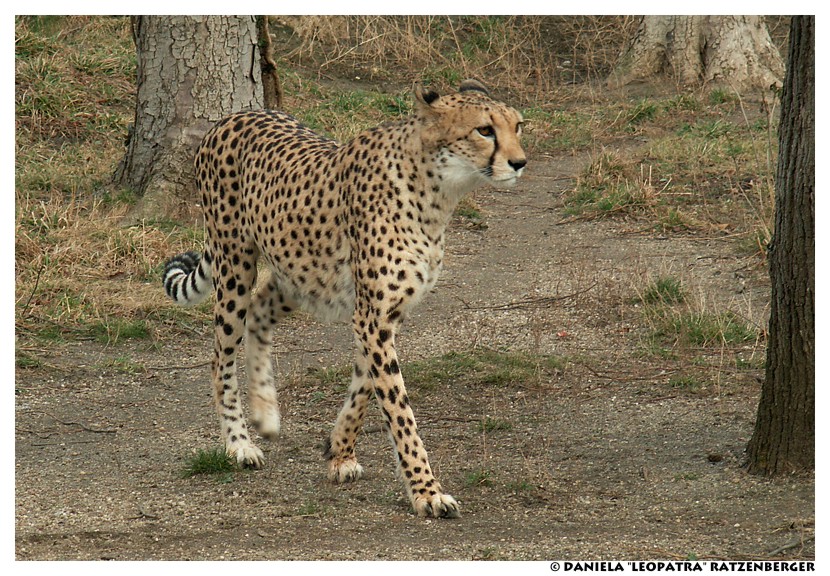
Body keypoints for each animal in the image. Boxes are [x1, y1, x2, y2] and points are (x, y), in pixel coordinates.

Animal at [163, 80, 528, 516]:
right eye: (484, 130)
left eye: (517, 126)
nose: (520, 163)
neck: (436, 189)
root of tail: (233, 116)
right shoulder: (373, 316)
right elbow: (398, 409)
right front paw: (427, 491)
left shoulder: (384, 313)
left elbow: (366, 386)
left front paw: (339, 451)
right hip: (235, 261)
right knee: (222, 353)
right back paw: (239, 444)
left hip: (302, 274)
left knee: (260, 308)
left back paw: (266, 413)